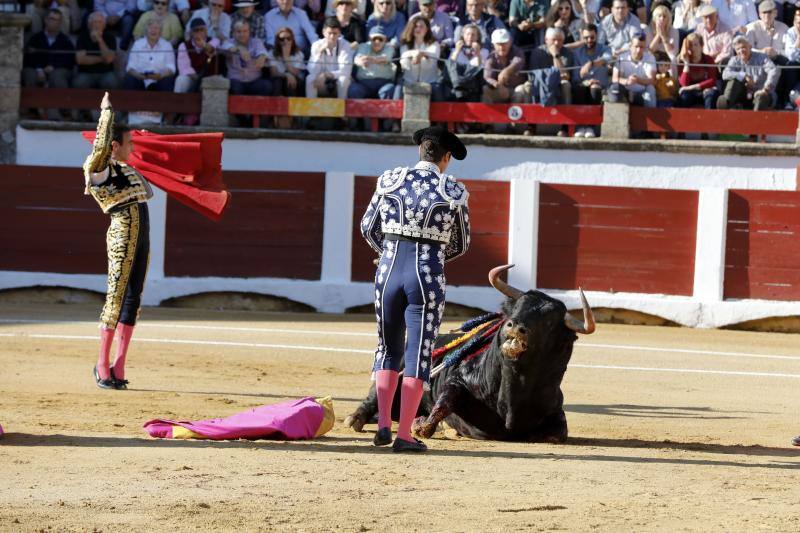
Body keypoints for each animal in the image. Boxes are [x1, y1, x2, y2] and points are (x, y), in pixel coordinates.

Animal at [344, 264, 592, 442]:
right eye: (516, 307)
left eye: (549, 321)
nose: (515, 325)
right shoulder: (457, 380)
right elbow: (443, 404)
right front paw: (422, 425)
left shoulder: (556, 410)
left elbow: (558, 434)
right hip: (398, 370)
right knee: (375, 397)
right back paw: (354, 418)